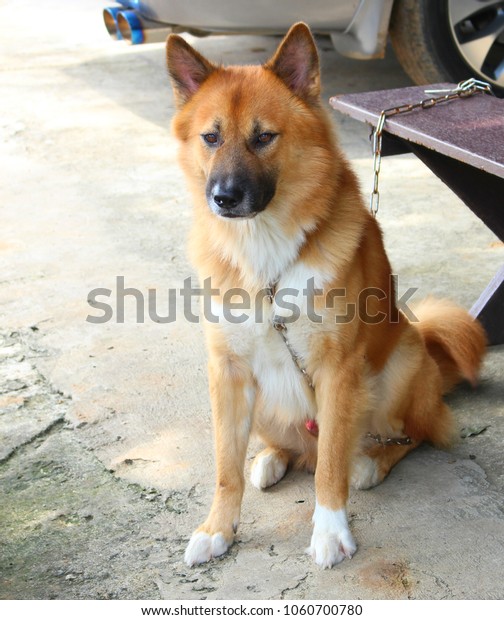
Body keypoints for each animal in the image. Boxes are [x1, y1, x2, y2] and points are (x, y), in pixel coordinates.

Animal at [167, 23, 486, 568]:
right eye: (210, 138)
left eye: (264, 137)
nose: (223, 198)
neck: (266, 258)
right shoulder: (227, 371)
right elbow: (225, 468)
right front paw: (218, 529)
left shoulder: (338, 371)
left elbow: (330, 468)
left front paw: (331, 530)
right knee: (295, 450)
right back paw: (271, 459)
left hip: (396, 368)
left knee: (414, 434)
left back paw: (372, 462)